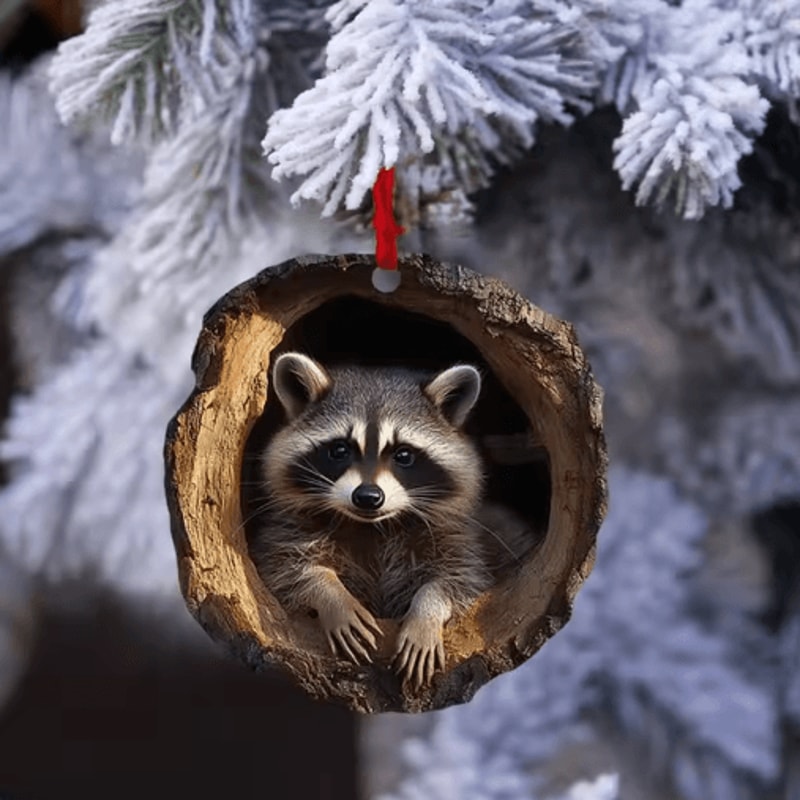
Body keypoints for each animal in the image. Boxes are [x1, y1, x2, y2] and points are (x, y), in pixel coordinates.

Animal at [249, 351, 525, 686]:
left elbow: (460, 580)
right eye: (340, 449)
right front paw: (331, 594)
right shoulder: (288, 529)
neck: (373, 526)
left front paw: (426, 612)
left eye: (403, 455)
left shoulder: (458, 537)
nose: (368, 497)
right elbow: (283, 568)